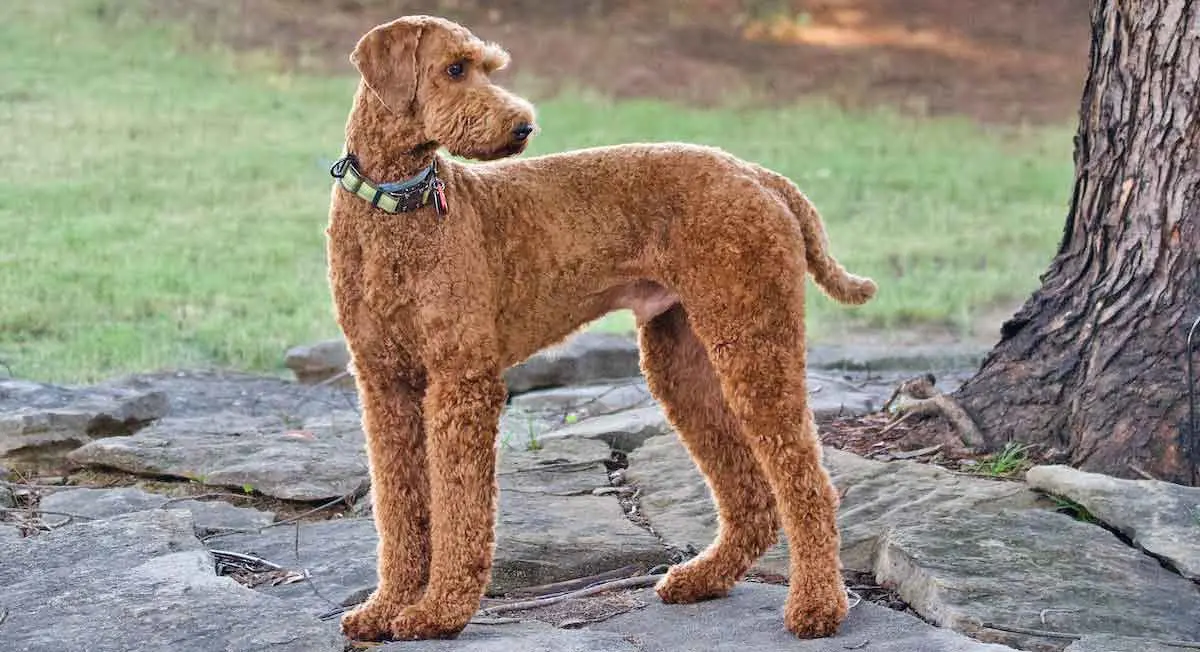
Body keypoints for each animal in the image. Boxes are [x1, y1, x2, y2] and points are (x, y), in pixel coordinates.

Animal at [324, 14, 878, 643]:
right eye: (455, 68)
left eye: (487, 66)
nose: (523, 126)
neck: (397, 207)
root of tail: (758, 174)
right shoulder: (385, 384)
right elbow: (399, 508)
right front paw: (385, 607)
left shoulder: (462, 380)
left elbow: (458, 508)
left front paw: (438, 611)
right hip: (683, 358)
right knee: (753, 494)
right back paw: (703, 577)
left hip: (753, 338)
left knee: (807, 482)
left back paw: (817, 606)